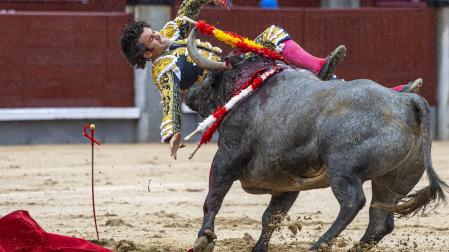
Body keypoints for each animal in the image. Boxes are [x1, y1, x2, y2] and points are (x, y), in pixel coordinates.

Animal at [183, 27, 448, 252]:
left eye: (208, 77)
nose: (190, 95)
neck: (253, 83)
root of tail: (406, 101)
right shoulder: (287, 180)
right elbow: (272, 217)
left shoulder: (227, 154)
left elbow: (214, 197)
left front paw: (204, 239)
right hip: (394, 180)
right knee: (380, 220)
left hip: (343, 169)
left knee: (353, 202)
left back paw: (318, 245)